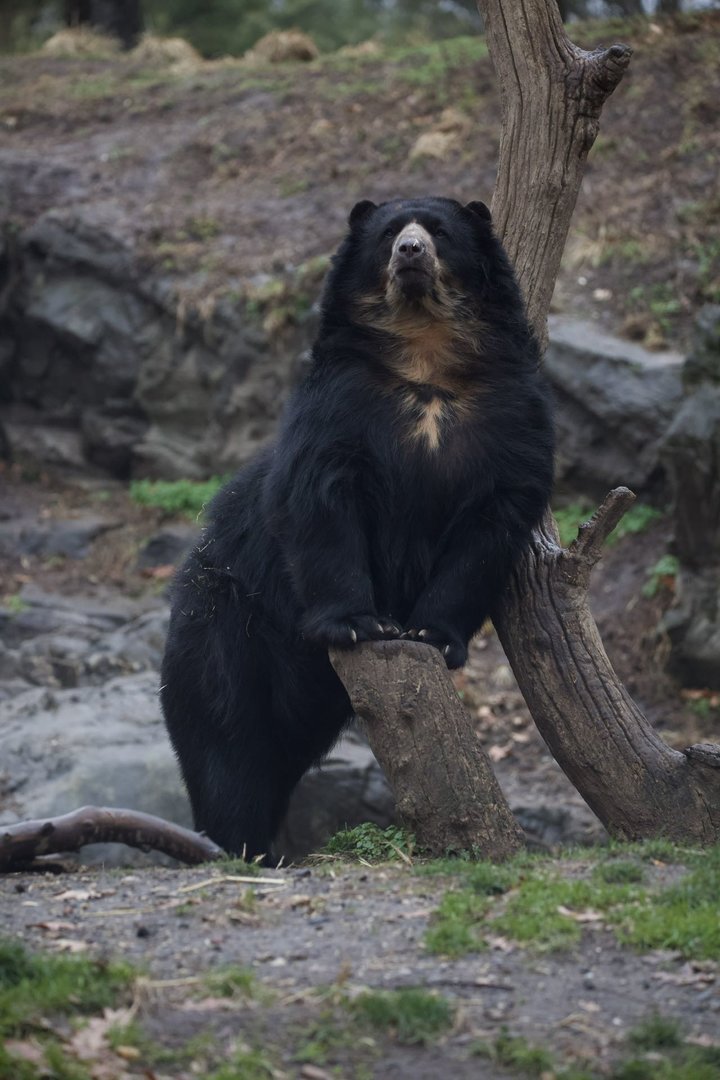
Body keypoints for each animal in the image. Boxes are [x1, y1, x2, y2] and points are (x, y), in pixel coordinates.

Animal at [160, 196, 555, 862]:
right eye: (390, 232)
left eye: (440, 231)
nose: (411, 252)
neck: (426, 349)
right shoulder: (338, 403)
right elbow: (322, 499)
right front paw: (360, 623)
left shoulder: (514, 417)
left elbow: (488, 530)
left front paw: (429, 633)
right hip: (224, 625)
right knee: (225, 743)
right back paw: (240, 846)